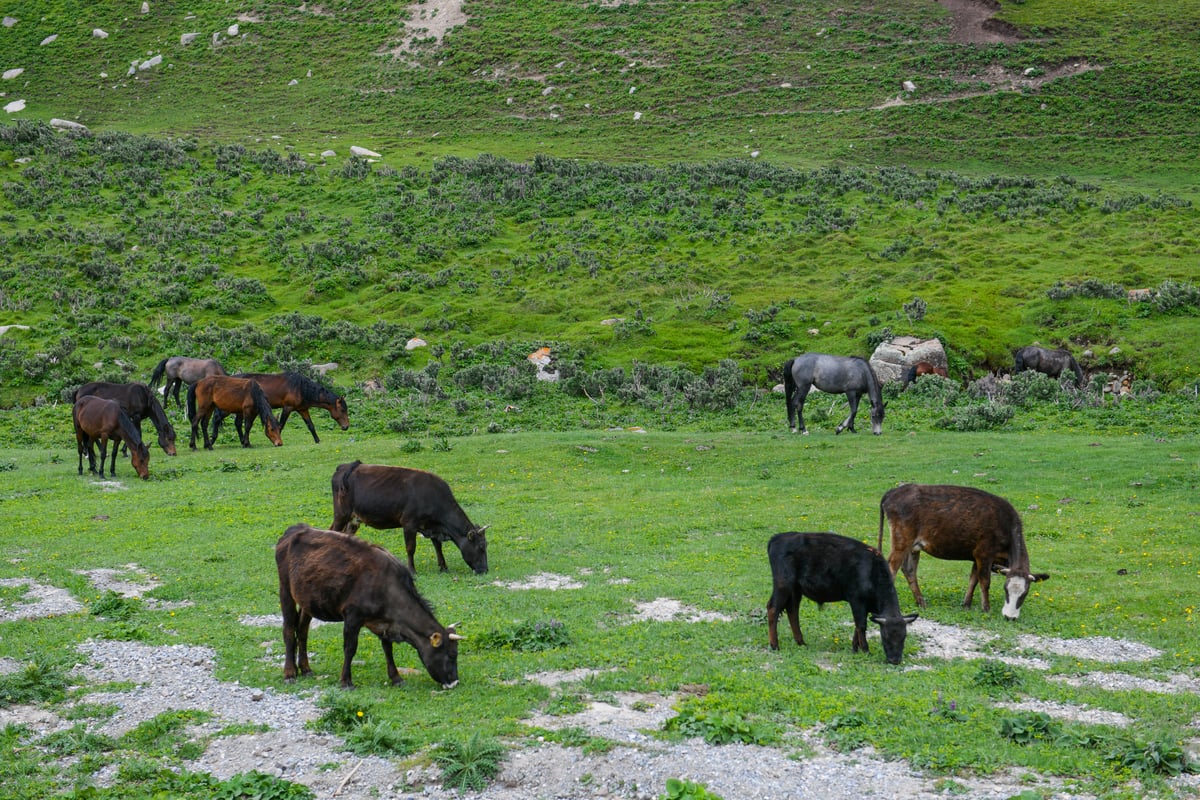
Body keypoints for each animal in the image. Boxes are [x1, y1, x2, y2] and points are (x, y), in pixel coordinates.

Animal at [274, 525, 458, 690]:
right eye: (450, 654)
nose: (454, 682)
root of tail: (293, 530)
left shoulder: (384, 623)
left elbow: (388, 649)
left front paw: (396, 678)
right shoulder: (352, 617)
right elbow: (350, 649)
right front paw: (346, 681)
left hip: (308, 600)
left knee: (302, 631)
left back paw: (305, 669)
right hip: (285, 590)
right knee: (288, 630)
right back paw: (289, 673)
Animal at [328, 462, 487, 575]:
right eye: (480, 547)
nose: (485, 570)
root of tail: (345, 466)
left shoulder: (432, 526)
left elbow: (437, 546)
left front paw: (443, 567)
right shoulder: (409, 523)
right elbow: (411, 548)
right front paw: (412, 570)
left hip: (353, 520)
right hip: (341, 514)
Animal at [768, 532, 916, 662]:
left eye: (904, 636)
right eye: (885, 636)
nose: (894, 660)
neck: (871, 571)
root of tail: (777, 537)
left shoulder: (866, 607)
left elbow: (857, 627)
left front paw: (855, 648)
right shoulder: (856, 600)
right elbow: (861, 625)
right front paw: (865, 650)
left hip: (795, 589)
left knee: (792, 611)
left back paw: (801, 642)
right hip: (783, 584)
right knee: (773, 609)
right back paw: (775, 645)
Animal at [873, 482, 1051, 618]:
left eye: (1025, 593)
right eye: (1005, 590)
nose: (1010, 617)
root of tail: (894, 491)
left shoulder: (977, 556)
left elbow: (973, 580)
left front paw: (966, 604)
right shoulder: (984, 553)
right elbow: (985, 581)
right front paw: (986, 608)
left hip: (914, 546)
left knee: (909, 570)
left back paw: (921, 602)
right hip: (901, 541)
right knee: (892, 568)